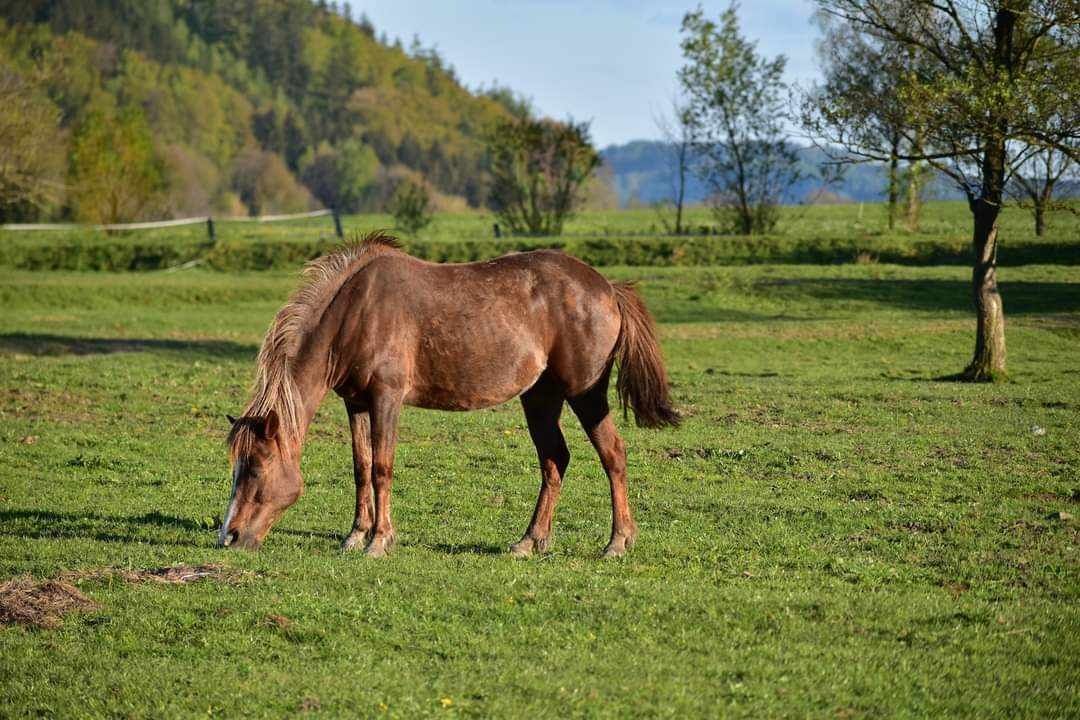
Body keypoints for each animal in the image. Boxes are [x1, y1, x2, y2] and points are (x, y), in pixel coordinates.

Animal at [219, 234, 673, 561]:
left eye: (256, 468)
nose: (229, 536)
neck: (356, 311)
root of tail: (608, 287)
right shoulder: (356, 402)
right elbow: (361, 467)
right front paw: (355, 535)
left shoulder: (386, 398)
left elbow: (382, 468)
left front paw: (379, 541)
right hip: (541, 398)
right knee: (554, 460)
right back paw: (529, 541)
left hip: (587, 394)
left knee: (613, 455)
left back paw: (617, 542)